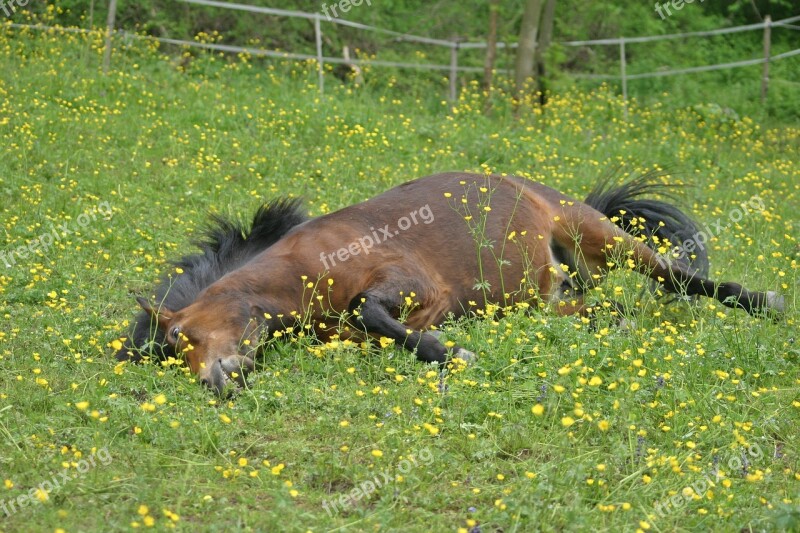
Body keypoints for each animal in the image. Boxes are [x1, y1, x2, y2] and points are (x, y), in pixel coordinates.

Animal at [115, 172, 784, 392]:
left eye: (176, 338)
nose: (216, 382)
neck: (305, 261)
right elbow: (375, 327)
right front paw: (441, 349)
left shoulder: (409, 282)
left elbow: (371, 310)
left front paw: (448, 352)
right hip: (543, 298)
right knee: (592, 307)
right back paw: (612, 322)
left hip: (600, 234)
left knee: (677, 280)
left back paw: (765, 303)